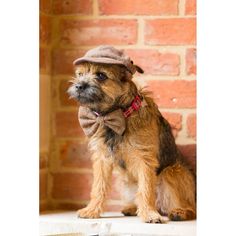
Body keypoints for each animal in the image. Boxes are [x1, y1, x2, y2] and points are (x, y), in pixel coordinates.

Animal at [67, 45, 195, 223]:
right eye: (79, 74)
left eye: (101, 76)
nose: (79, 86)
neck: (118, 115)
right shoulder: (102, 159)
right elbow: (99, 186)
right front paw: (92, 210)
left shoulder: (145, 159)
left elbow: (146, 188)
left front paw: (149, 214)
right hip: (125, 182)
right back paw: (132, 208)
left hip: (171, 173)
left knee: (190, 207)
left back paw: (178, 212)